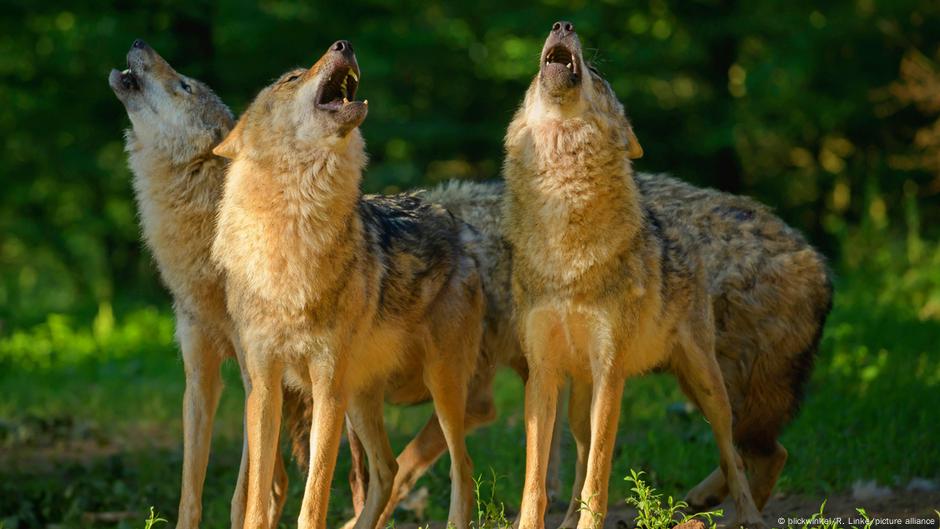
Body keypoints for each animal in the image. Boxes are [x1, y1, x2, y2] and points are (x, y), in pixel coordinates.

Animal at [108, 40, 298, 529]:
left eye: (183, 85)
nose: (138, 42)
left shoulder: (254, 380)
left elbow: (240, 495)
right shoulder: (198, 379)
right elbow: (191, 491)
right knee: (283, 481)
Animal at [210, 40, 485, 529]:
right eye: (292, 78)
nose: (344, 44)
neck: (292, 227)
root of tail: (457, 223)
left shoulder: (327, 387)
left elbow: (313, 498)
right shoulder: (263, 387)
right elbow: (258, 500)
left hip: (439, 385)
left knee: (462, 467)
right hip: (361, 397)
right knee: (388, 468)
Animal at [501, 22, 831, 529]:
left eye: (595, 71)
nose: (563, 25)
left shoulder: (611, 372)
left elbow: (599, 477)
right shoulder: (542, 373)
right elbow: (537, 483)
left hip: (708, 387)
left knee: (741, 452)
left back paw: (743, 513)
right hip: (586, 400)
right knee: (584, 458)